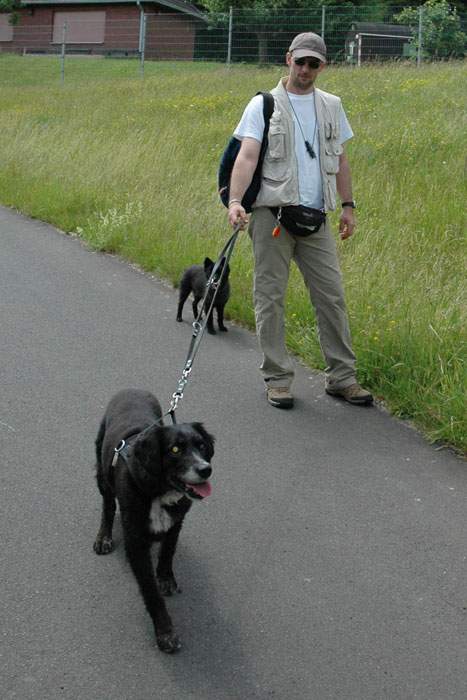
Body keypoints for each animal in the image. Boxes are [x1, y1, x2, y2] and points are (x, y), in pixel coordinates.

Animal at [93, 392, 216, 652]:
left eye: (201, 445)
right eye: (175, 449)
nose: (205, 469)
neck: (158, 490)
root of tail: (130, 389)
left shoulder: (177, 521)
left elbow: (168, 551)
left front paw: (166, 578)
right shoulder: (135, 541)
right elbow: (150, 591)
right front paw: (165, 632)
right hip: (102, 472)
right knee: (108, 506)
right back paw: (104, 537)